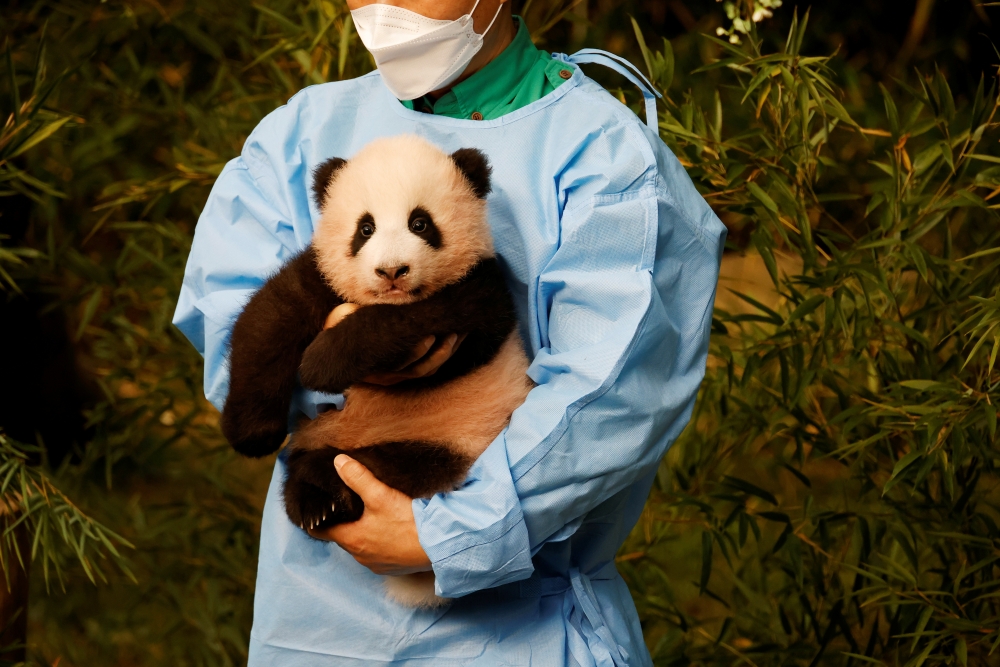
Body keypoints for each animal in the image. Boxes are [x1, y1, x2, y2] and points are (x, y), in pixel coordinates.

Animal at [220, 134, 533, 607]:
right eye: (364, 229)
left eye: (420, 223)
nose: (392, 272)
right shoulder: (321, 274)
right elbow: (270, 317)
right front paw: (252, 431)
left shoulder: (480, 289)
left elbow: (412, 318)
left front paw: (321, 363)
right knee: (302, 464)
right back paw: (311, 504)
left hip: (456, 438)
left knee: (395, 467)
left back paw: (332, 489)